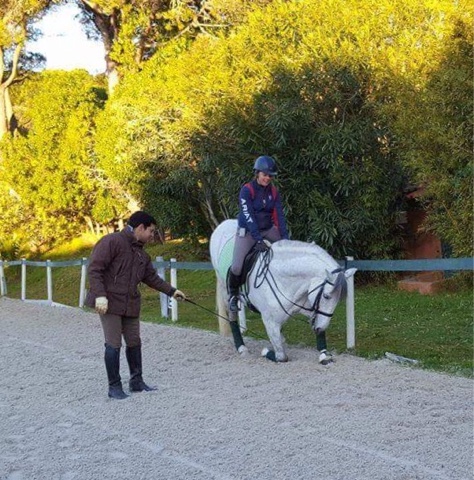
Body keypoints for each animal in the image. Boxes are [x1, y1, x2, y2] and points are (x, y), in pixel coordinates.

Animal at [209, 219, 356, 364]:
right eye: (326, 296)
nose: (320, 328)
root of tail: (224, 223)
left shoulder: (310, 307)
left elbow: (317, 325)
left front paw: (324, 354)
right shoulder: (270, 322)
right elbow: (282, 357)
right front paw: (266, 351)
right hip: (225, 288)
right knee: (232, 315)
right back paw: (241, 347)